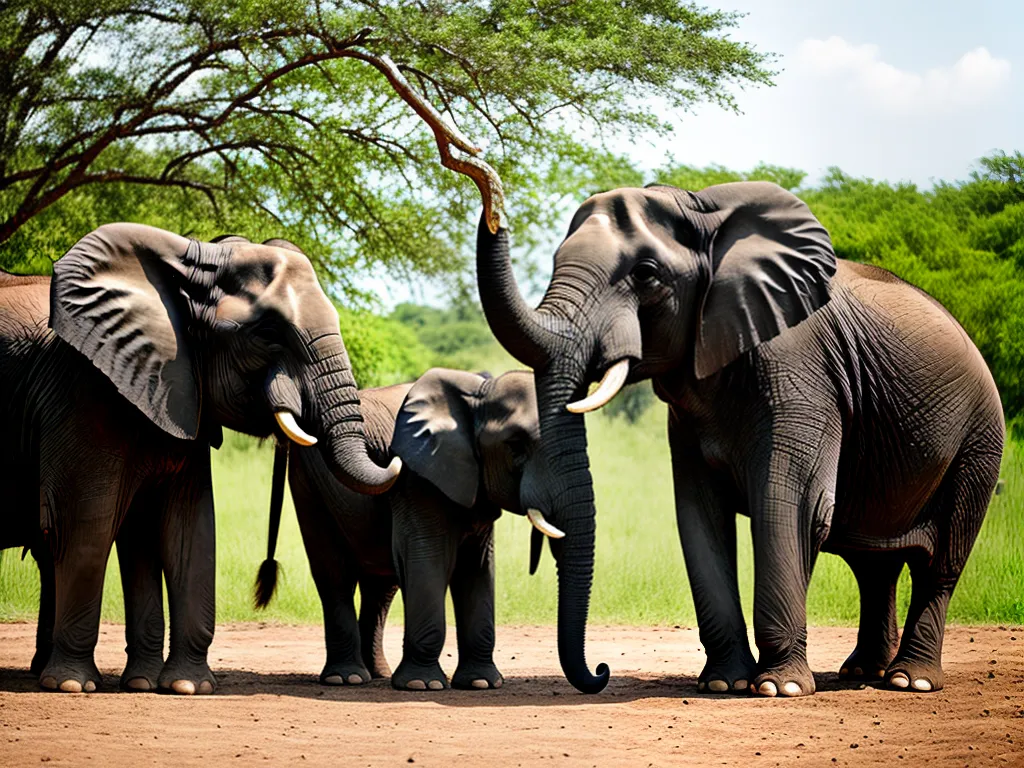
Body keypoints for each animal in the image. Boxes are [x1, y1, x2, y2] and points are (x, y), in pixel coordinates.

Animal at [0, 225, 400, 694]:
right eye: (268, 333)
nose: (394, 458)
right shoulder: (84, 388)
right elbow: (84, 523)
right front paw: (74, 686)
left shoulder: (176, 392)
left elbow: (189, 527)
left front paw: (181, 686)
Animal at [255, 367, 554, 691]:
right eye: (516, 445)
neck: (477, 394)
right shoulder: (416, 480)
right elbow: (427, 560)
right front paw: (422, 685)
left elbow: (476, 568)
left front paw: (480, 684)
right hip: (309, 481)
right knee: (334, 573)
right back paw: (346, 678)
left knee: (381, 587)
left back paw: (377, 674)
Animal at [473, 180, 1005, 696]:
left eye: (645, 273)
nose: (602, 670)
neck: (704, 217)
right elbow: (699, 514)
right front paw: (723, 682)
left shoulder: (801, 373)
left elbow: (793, 505)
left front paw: (778, 688)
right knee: (873, 563)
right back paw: (863, 673)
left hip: (980, 439)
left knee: (942, 561)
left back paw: (909, 681)